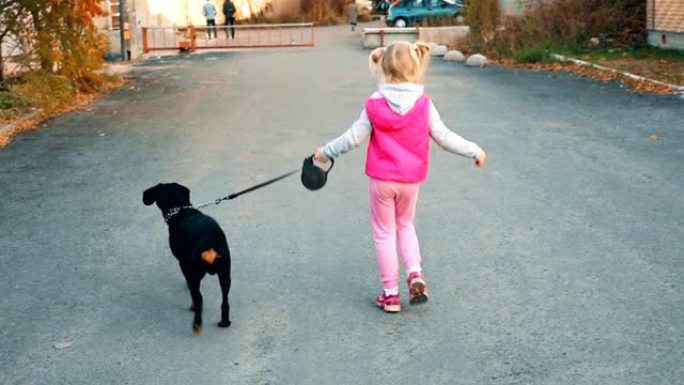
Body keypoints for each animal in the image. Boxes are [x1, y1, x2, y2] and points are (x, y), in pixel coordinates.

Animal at [143, 182, 231, 332]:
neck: (181, 211)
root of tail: (208, 243)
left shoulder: (183, 264)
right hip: (225, 275)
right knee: (225, 301)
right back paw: (224, 322)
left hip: (195, 273)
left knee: (198, 297)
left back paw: (196, 323)